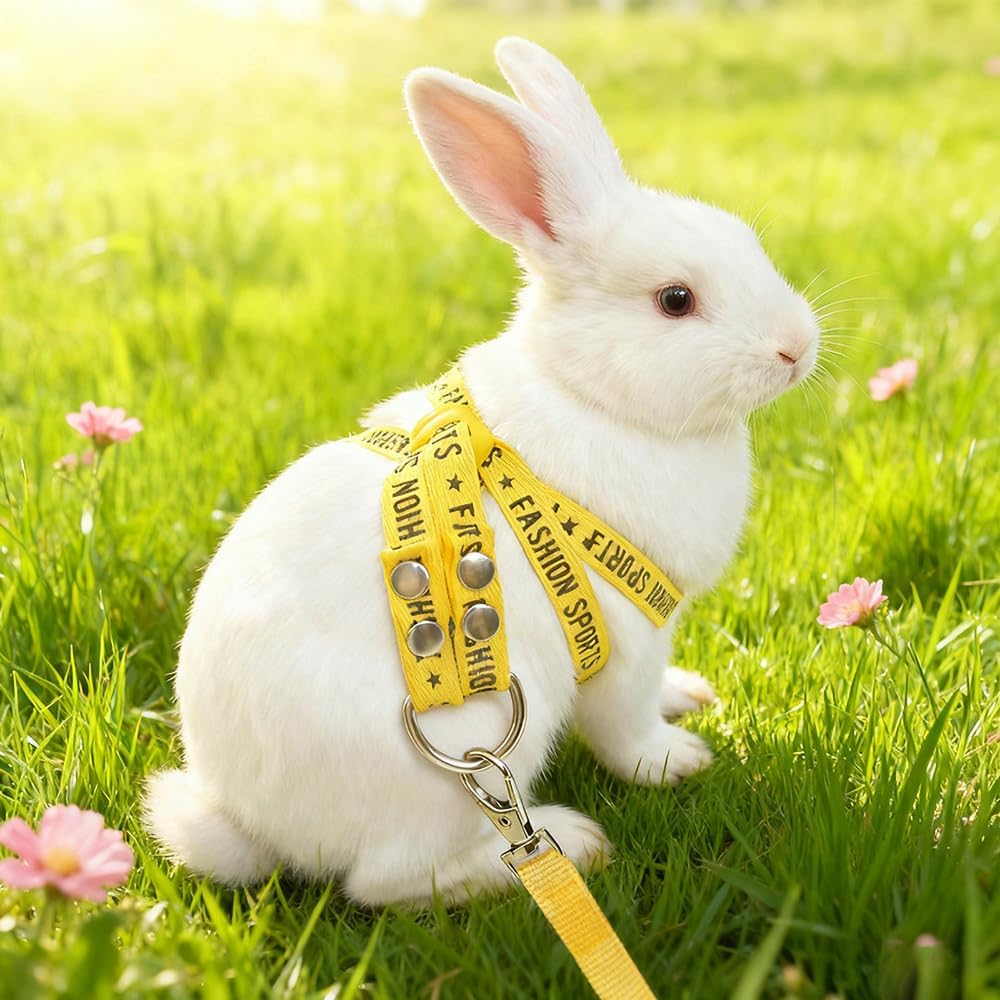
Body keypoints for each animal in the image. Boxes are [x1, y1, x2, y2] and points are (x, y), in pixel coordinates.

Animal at [144, 37, 819, 906]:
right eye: (676, 299)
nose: (798, 346)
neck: (589, 393)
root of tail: (248, 824)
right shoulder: (622, 639)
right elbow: (625, 724)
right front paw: (677, 761)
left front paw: (690, 697)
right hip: (467, 753)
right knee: (390, 882)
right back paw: (571, 841)